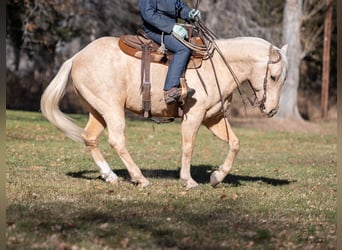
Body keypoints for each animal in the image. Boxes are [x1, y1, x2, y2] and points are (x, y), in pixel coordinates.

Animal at [40, 34, 288, 188]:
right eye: (274, 77)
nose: (272, 110)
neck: (216, 66)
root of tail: (77, 57)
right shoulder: (193, 117)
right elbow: (188, 147)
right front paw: (188, 181)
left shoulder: (213, 118)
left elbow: (235, 143)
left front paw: (217, 177)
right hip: (112, 109)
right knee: (117, 140)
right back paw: (140, 178)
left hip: (98, 111)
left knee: (90, 138)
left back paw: (110, 176)